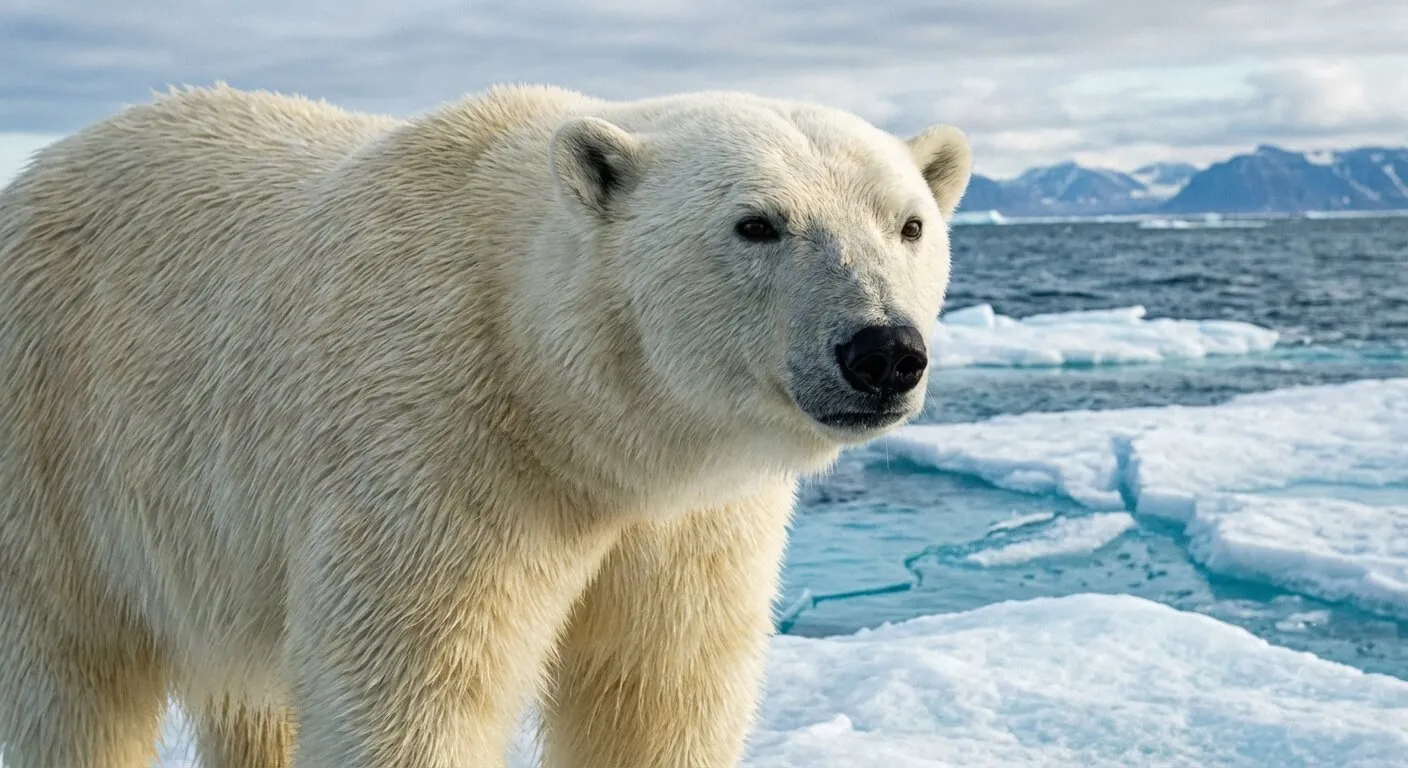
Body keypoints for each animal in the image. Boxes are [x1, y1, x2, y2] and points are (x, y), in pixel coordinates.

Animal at [0, 83, 971, 768]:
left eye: (909, 224)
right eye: (757, 224)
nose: (883, 350)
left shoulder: (689, 520)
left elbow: (659, 689)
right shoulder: (435, 449)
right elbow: (416, 691)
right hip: (55, 434)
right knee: (71, 681)